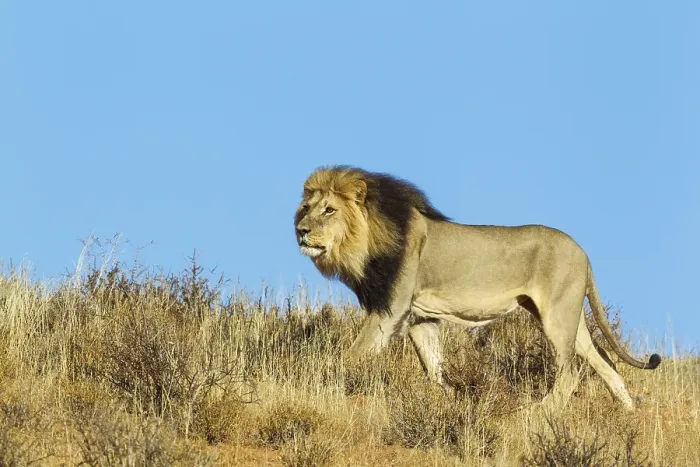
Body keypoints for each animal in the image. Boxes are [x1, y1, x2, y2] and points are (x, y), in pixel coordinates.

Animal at [294, 165, 660, 410]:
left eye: (329, 210)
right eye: (305, 209)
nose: (301, 231)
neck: (364, 242)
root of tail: (583, 252)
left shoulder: (391, 306)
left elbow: (355, 352)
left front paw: (328, 380)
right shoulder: (419, 317)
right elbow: (433, 366)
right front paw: (451, 397)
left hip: (557, 317)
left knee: (571, 374)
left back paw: (538, 412)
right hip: (569, 317)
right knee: (605, 364)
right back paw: (627, 412)